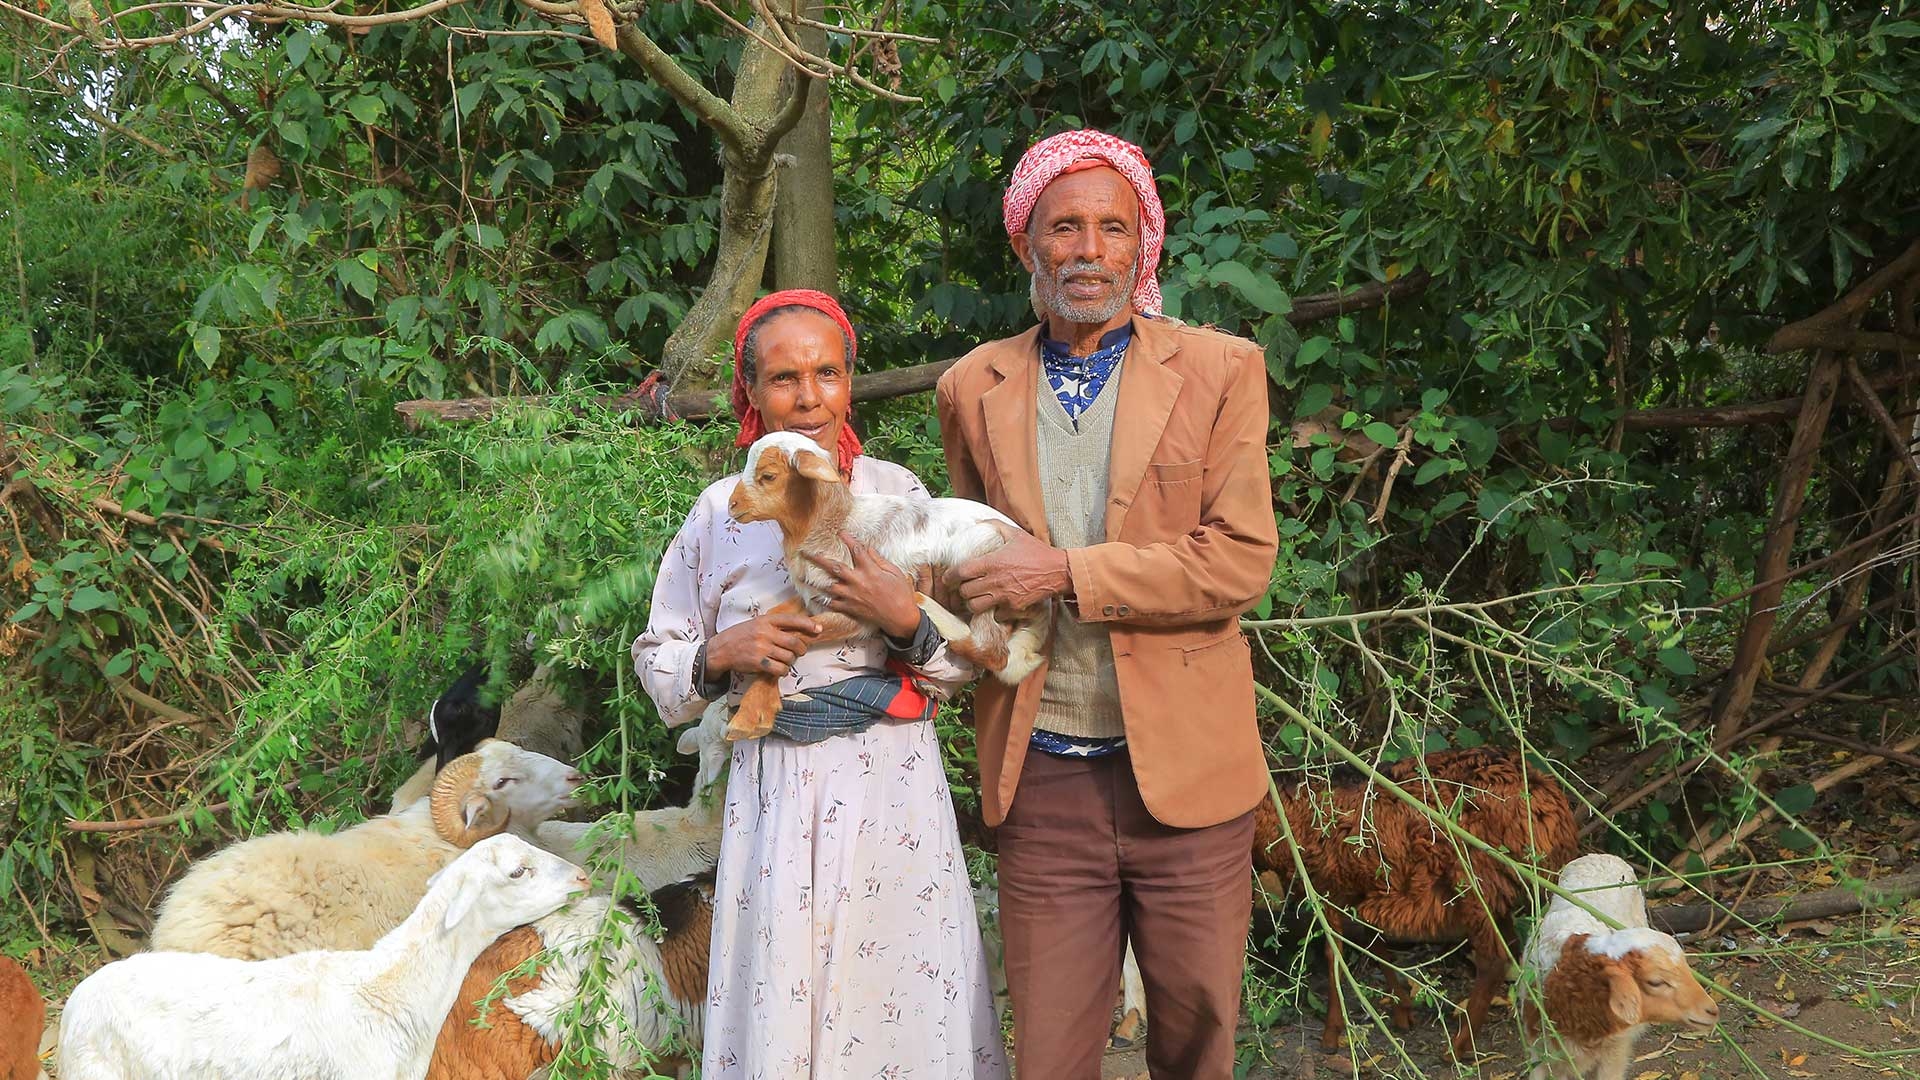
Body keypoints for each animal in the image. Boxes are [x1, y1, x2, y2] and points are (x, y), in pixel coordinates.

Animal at [722, 431, 1051, 741]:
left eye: (768, 476)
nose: (732, 505)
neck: (834, 523)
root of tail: (1045, 609)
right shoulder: (813, 598)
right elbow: (779, 621)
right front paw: (756, 704)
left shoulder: (858, 614)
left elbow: (801, 636)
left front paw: (749, 716)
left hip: (985, 566)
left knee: (991, 649)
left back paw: (922, 601)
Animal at [1254, 747, 1579, 1056]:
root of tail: (1551, 805)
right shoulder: (1360, 890)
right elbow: (1374, 944)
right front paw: (1402, 1011)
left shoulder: (1326, 887)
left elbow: (1336, 954)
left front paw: (1331, 1036)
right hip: (1498, 888)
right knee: (1513, 947)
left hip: (1474, 882)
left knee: (1493, 959)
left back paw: (1458, 1048)